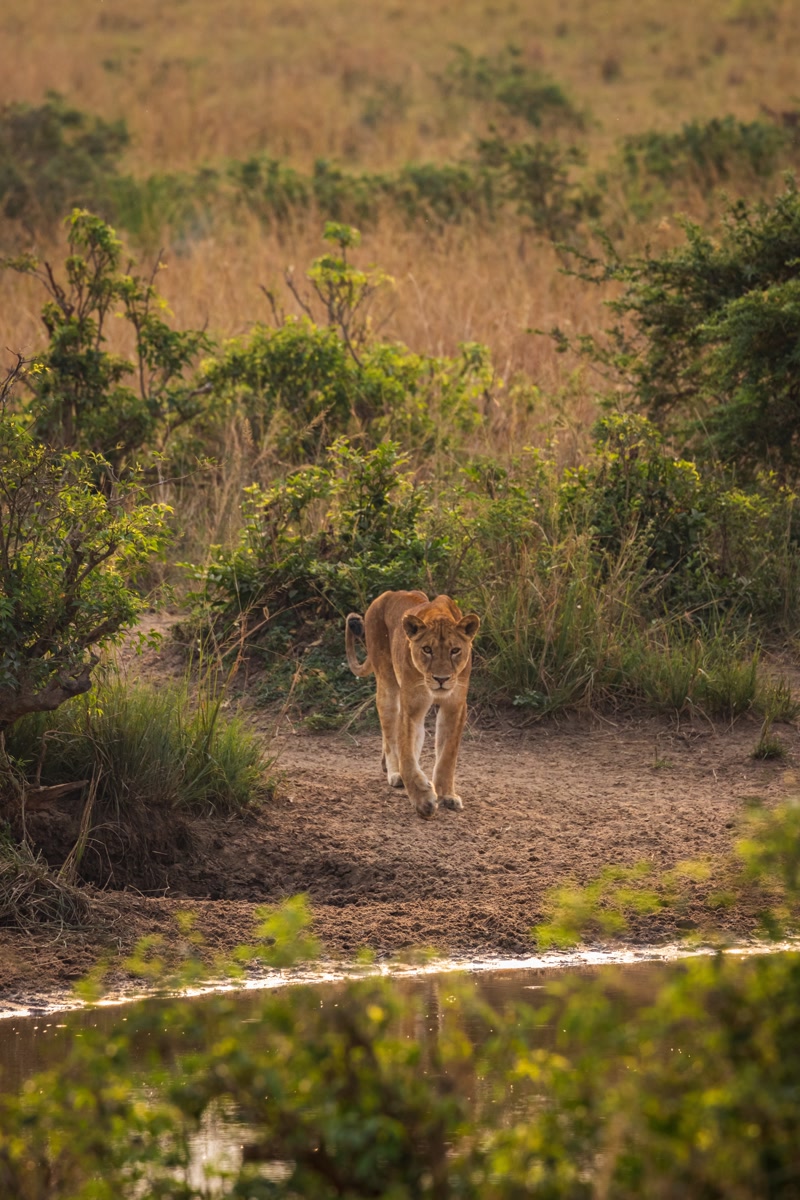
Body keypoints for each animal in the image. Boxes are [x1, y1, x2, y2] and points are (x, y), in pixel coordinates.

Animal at [345, 590, 480, 819]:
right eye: (427, 649)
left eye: (455, 650)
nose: (441, 679)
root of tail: (386, 595)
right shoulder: (412, 708)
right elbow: (407, 755)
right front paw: (423, 799)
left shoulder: (455, 706)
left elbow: (447, 755)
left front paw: (447, 795)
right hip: (388, 685)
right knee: (391, 735)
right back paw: (394, 772)